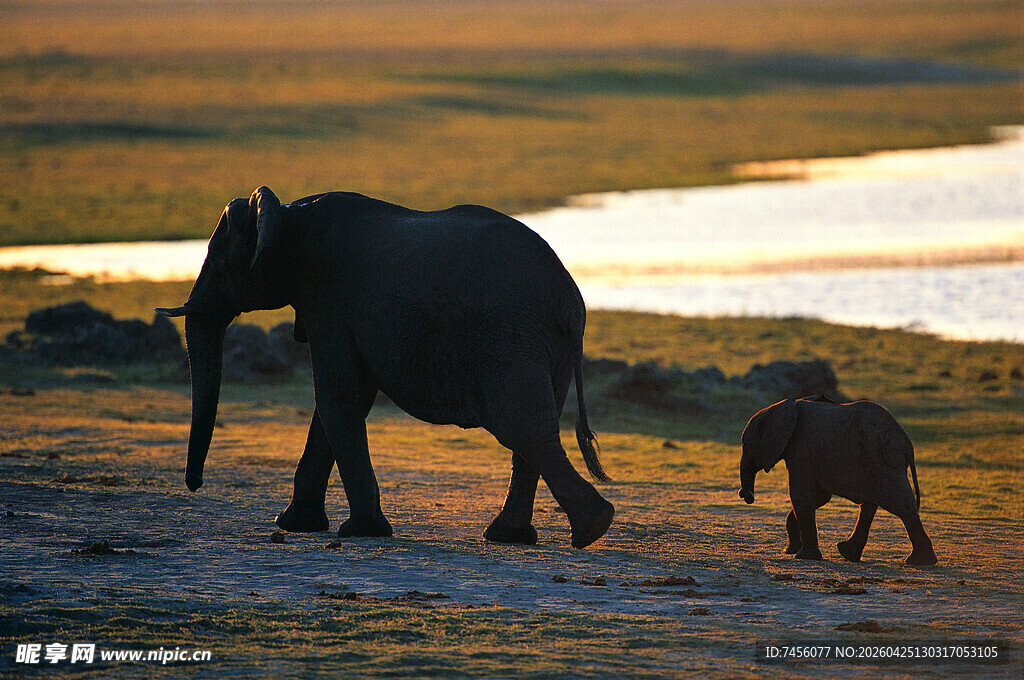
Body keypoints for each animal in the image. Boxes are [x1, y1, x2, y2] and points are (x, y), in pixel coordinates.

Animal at [157, 186, 614, 549]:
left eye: (218, 259)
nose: (195, 484)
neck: (288, 212)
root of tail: (570, 298)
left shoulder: (326, 295)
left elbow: (341, 395)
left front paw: (360, 530)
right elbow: (340, 402)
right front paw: (295, 525)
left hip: (513, 336)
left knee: (521, 425)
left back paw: (589, 529)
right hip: (546, 344)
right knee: (534, 428)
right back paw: (517, 536)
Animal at [737, 395, 937, 565]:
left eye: (745, 445)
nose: (745, 494)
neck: (784, 406)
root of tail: (907, 445)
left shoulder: (801, 449)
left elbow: (801, 496)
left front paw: (802, 556)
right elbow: (818, 497)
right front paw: (791, 550)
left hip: (883, 459)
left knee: (902, 504)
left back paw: (919, 561)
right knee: (872, 505)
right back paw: (850, 554)